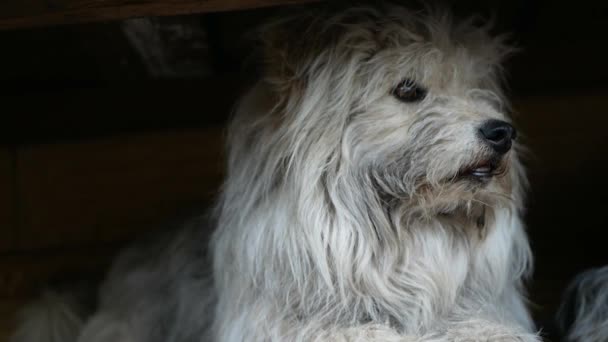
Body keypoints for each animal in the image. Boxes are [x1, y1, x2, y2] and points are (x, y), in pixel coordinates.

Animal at [13, 3, 536, 342]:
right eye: (408, 90)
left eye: (476, 88)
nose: (501, 132)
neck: (403, 235)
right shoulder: (276, 324)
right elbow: (352, 333)